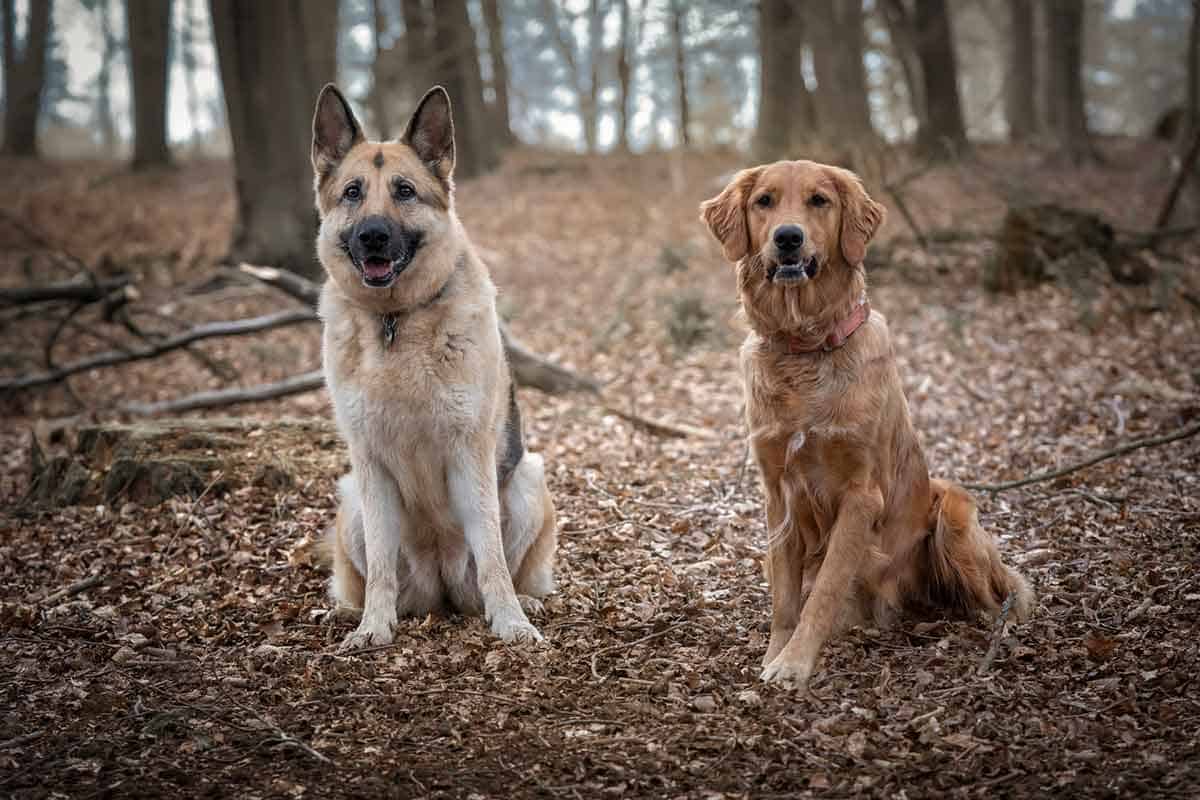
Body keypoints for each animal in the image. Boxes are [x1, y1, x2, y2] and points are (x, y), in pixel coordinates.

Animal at [309, 84, 552, 652]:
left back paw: (522, 602)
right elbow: (380, 566)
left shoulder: (471, 454)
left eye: (404, 191)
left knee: (500, 570)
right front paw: (373, 627)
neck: (396, 321)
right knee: (372, 579)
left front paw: (511, 621)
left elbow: (493, 557)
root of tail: (440, 590)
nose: (374, 236)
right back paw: (349, 612)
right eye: (352, 192)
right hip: (352, 500)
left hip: (529, 481)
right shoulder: (370, 465)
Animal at [700, 160, 1032, 690]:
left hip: (952, 509)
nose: (788, 237)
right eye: (764, 201)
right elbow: (785, 595)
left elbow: (825, 587)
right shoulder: (779, 495)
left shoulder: (860, 494)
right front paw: (775, 654)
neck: (805, 348)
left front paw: (795, 664)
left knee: (996, 594)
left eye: (819, 201)